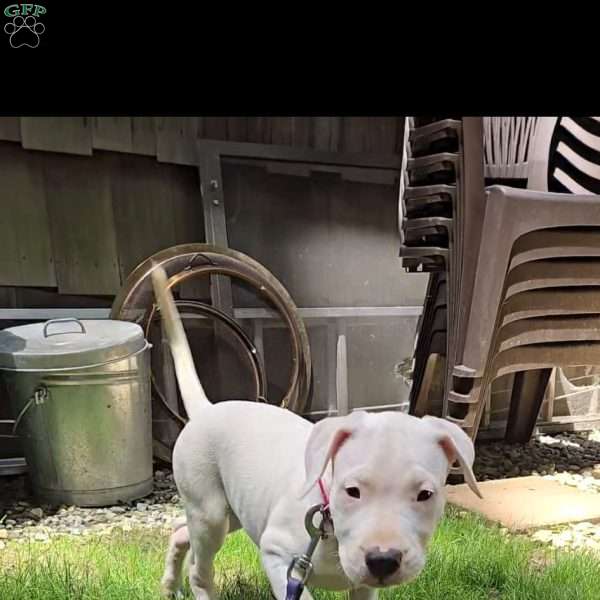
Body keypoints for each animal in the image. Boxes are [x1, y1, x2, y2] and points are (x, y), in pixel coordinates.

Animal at [152, 268, 480, 600]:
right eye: (352, 491)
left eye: (425, 495)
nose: (383, 560)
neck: (329, 522)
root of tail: (206, 409)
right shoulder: (279, 557)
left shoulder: (364, 586)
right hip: (210, 510)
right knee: (199, 568)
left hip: (230, 511)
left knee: (181, 531)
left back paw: (169, 584)